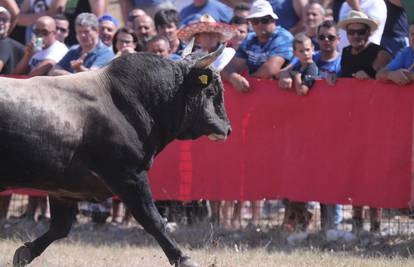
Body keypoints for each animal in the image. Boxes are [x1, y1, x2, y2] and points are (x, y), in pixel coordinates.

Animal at [0, 48, 231, 267]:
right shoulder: (129, 176)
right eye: (211, 91)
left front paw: (25, 253)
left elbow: (60, 227)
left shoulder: (63, 189)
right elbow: (153, 220)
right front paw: (183, 258)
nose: (227, 129)